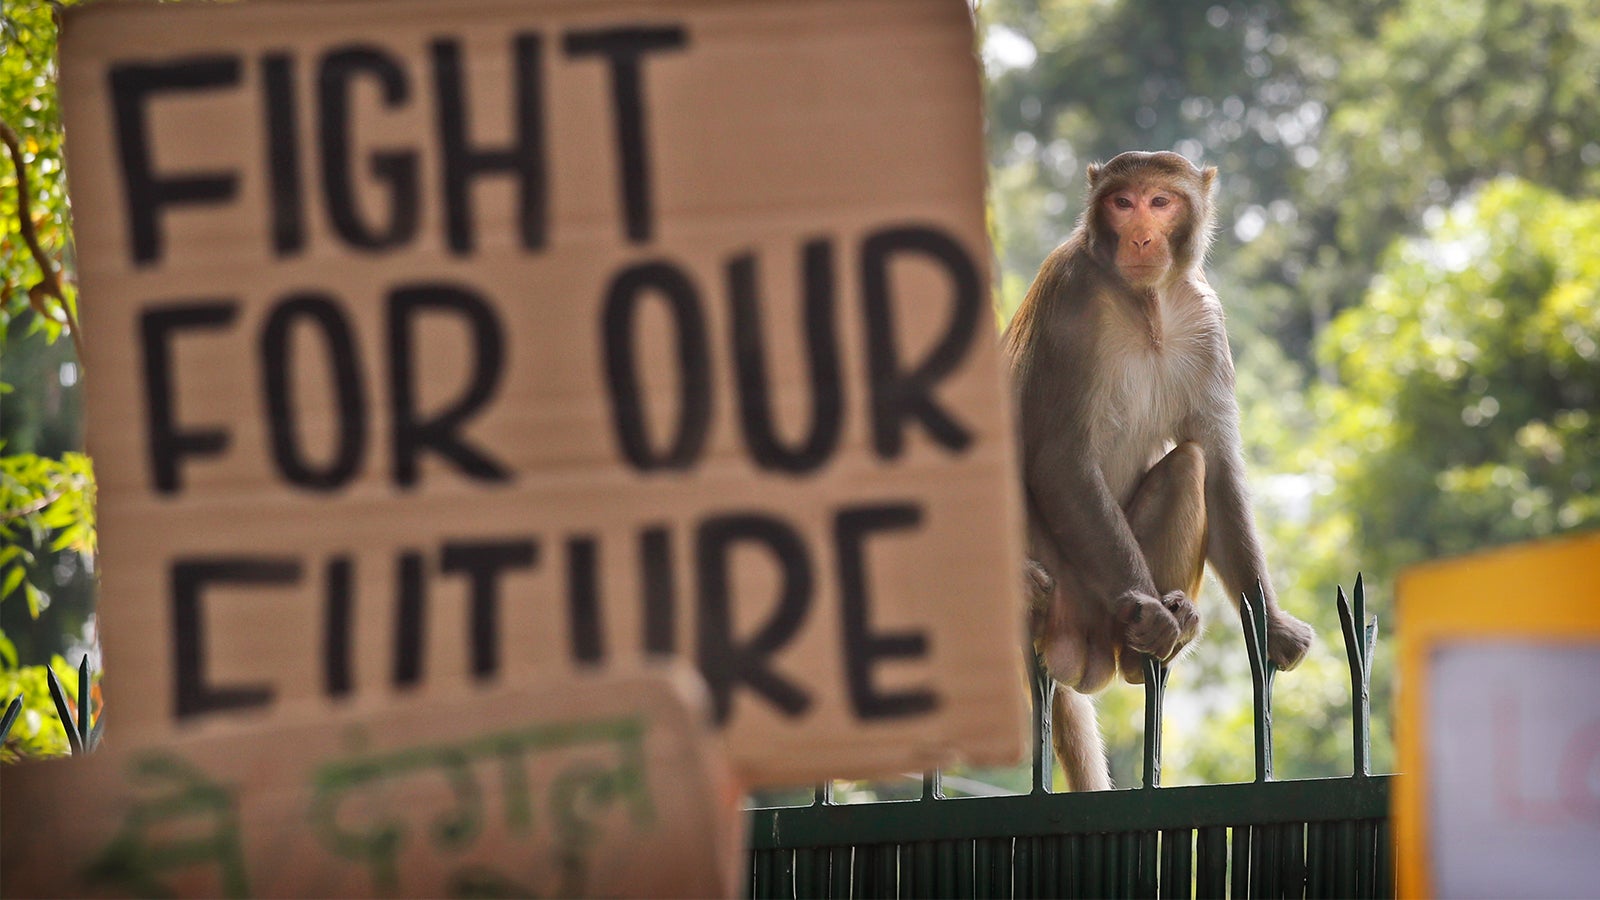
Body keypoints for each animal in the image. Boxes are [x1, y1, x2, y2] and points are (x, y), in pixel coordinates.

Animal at [1003, 151, 1315, 792]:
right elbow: (1061, 458)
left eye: (1160, 202)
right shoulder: (1070, 300)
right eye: (1123, 203)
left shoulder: (1206, 319)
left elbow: (1216, 465)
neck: (1143, 302)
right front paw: (1150, 617)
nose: (1142, 236)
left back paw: (1160, 635)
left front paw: (1271, 622)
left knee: (1189, 465)